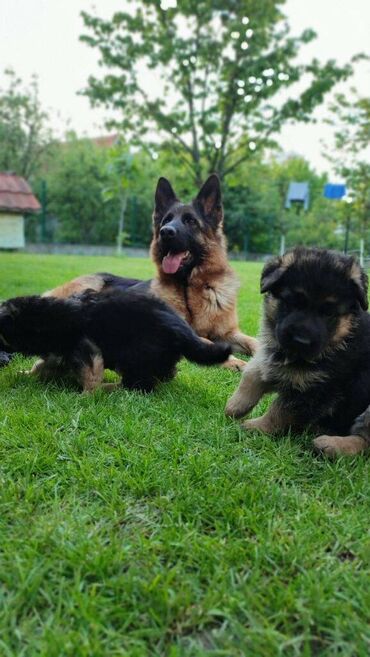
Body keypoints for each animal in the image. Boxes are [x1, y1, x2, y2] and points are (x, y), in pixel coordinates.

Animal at [0, 290, 231, 392]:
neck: (40, 316)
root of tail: (180, 327)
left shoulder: (83, 346)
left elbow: (91, 374)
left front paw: (86, 395)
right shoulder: (58, 353)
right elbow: (42, 366)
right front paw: (26, 374)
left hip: (134, 355)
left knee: (141, 385)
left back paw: (112, 387)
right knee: (164, 374)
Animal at [227, 247, 370, 456]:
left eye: (328, 313)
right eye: (292, 302)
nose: (301, 341)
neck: (340, 339)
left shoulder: (313, 392)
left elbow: (279, 411)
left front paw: (257, 427)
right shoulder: (276, 361)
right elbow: (253, 373)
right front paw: (235, 405)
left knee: (365, 441)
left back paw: (329, 444)